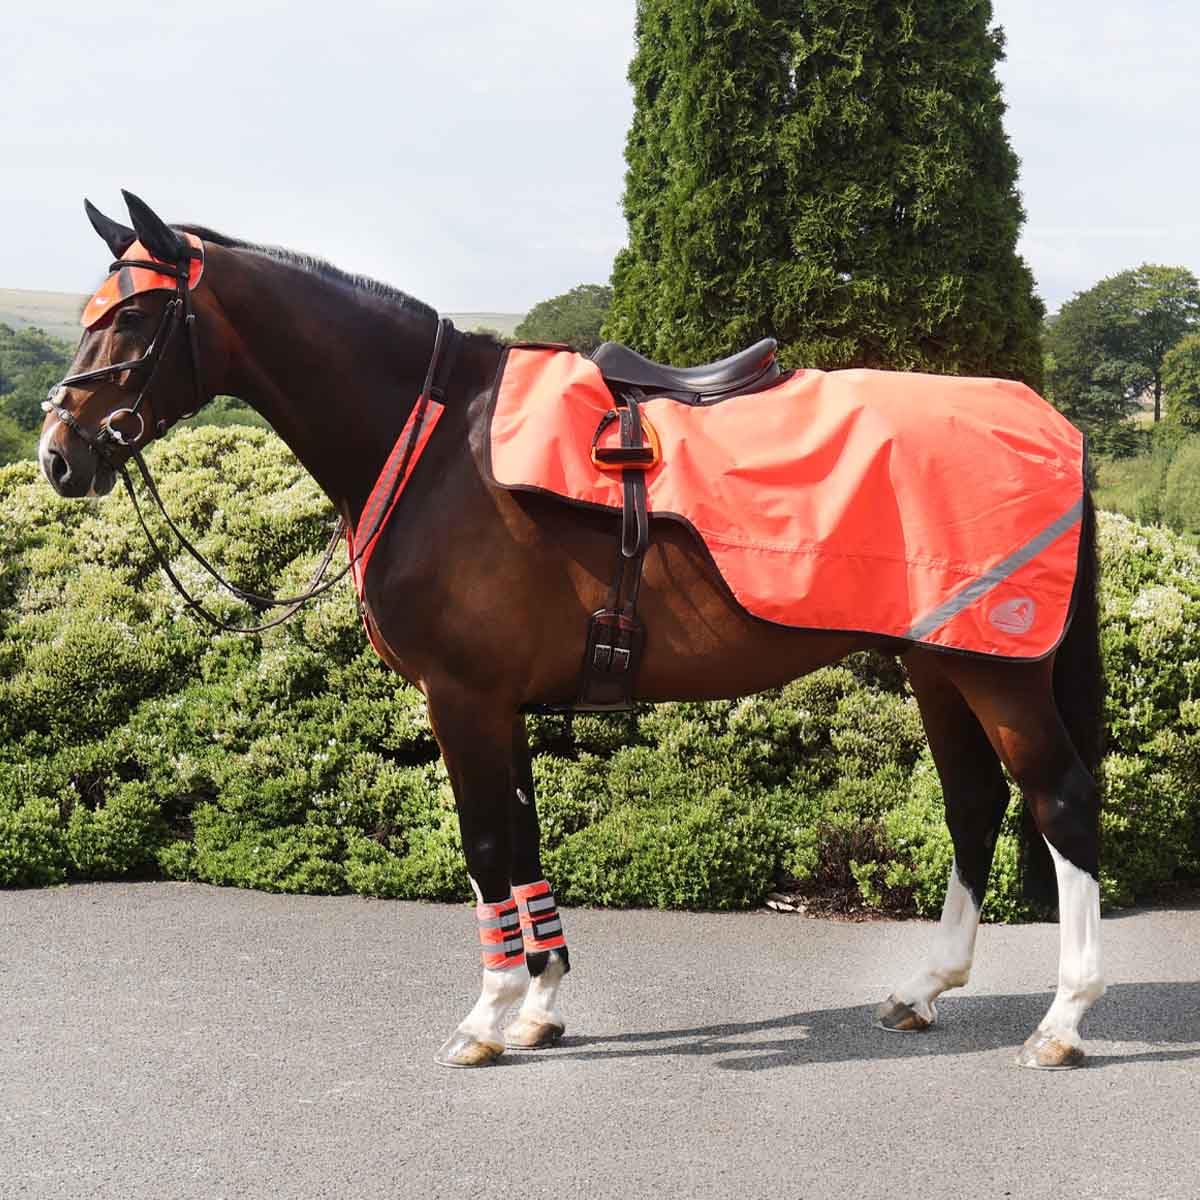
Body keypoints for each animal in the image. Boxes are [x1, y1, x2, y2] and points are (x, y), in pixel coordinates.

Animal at [40, 191, 1106, 1071]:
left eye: (131, 315)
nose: (59, 455)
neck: (437, 442)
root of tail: (1051, 429)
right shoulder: (499, 701)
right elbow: (522, 839)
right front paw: (540, 1003)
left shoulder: (461, 697)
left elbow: (483, 844)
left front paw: (485, 1016)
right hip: (939, 662)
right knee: (974, 803)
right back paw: (925, 990)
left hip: (998, 671)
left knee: (1058, 800)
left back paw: (1063, 1020)